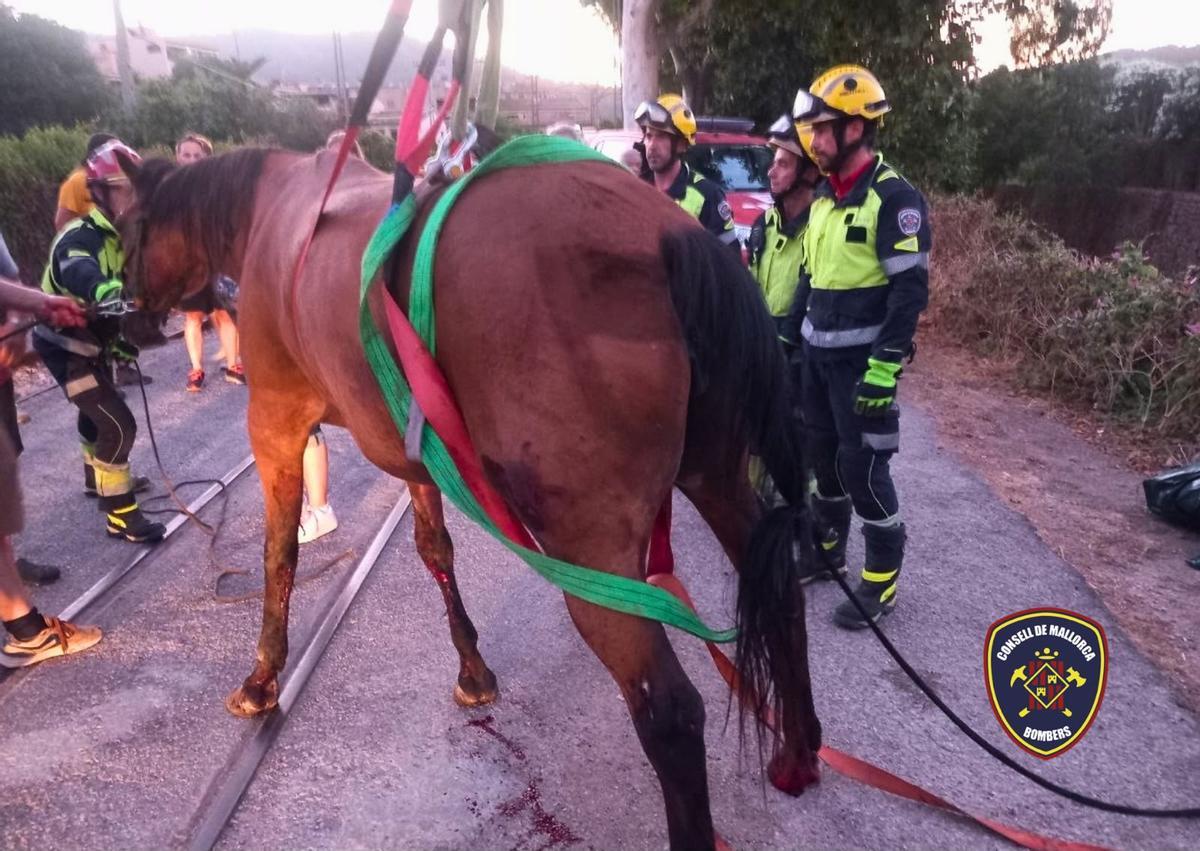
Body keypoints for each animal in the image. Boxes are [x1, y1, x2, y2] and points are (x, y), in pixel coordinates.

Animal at [116, 145, 822, 849]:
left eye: (128, 223)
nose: (128, 313)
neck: (273, 213)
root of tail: (670, 234)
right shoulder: (409, 447)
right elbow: (435, 548)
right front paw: (472, 667)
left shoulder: (275, 424)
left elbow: (278, 554)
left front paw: (263, 676)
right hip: (717, 479)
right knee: (782, 596)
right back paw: (797, 751)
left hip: (592, 550)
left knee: (670, 711)